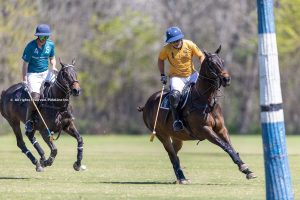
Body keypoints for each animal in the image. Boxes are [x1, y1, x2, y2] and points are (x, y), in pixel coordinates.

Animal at [139, 46, 256, 184]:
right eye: (211, 63)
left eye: (222, 61)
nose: (226, 79)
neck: (206, 100)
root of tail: (147, 104)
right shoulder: (204, 130)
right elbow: (225, 146)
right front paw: (244, 167)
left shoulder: (221, 129)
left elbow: (230, 145)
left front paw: (247, 170)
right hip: (161, 134)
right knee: (172, 154)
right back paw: (181, 177)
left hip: (178, 137)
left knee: (174, 153)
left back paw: (179, 177)